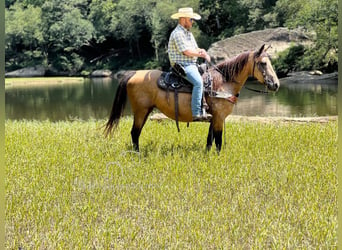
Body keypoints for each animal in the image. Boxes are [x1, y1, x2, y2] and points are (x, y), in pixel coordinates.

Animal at [105, 43, 280, 151]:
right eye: (263, 63)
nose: (276, 84)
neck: (223, 83)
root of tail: (133, 73)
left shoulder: (214, 117)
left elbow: (210, 140)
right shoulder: (219, 117)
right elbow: (218, 141)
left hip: (145, 111)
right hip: (141, 111)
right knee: (135, 133)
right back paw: (138, 154)